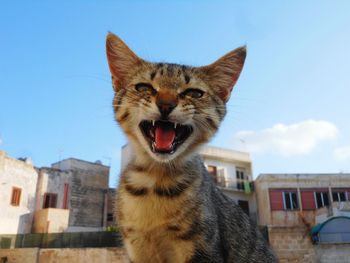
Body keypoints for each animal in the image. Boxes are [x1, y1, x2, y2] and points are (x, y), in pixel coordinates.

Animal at [105, 32, 278, 262]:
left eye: (194, 93)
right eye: (143, 87)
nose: (166, 104)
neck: (155, 181)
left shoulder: (204, 249)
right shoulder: (136, 249)